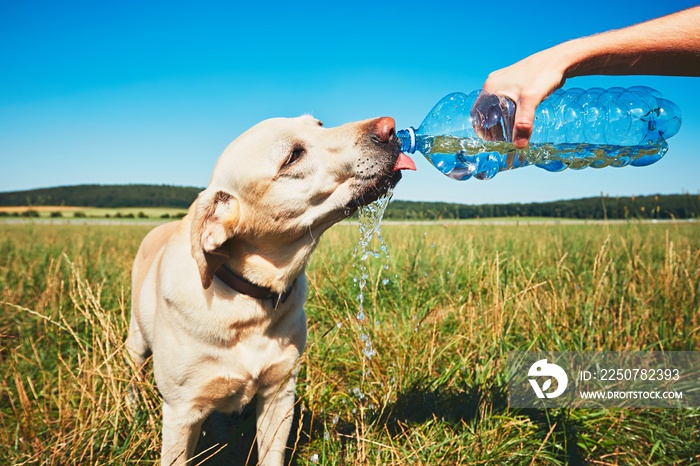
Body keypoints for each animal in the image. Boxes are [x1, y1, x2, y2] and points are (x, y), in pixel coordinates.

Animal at [126, 114, 416, 466]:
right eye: (292, 156)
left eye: (319, 124)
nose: (389, 127)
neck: (249, 301)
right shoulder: (181, 412)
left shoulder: (279, 394)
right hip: (136, 342)